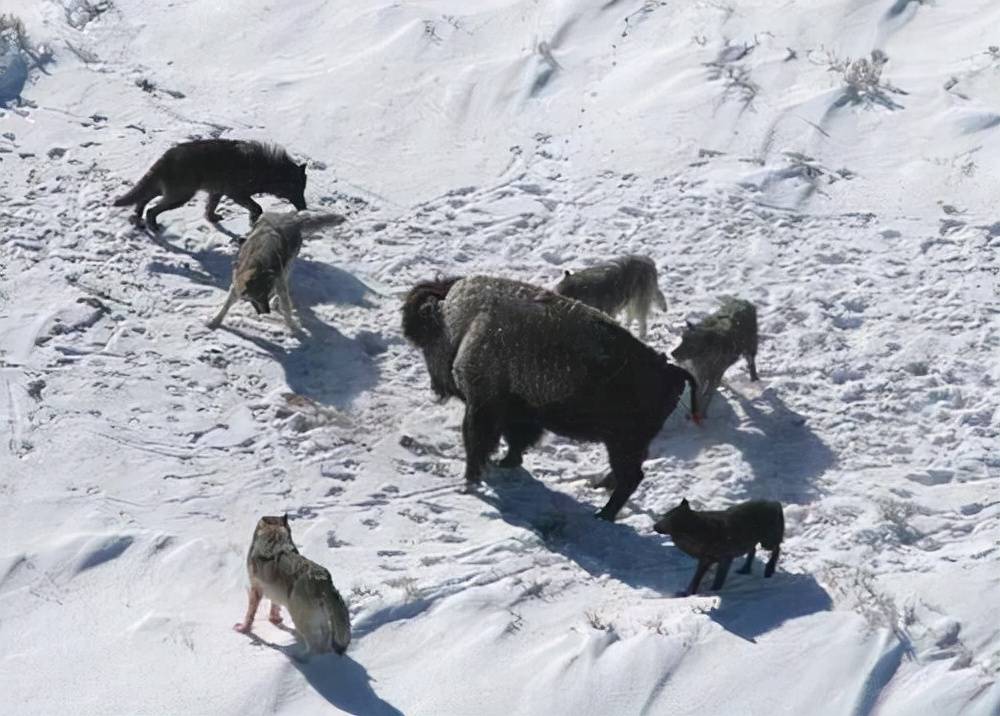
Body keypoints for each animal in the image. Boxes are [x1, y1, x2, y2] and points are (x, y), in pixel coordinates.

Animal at [112, 138, 306, 229]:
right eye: (297, 189)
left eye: (303, 189)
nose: (304, 208)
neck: (266, 170)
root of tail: (166, 157)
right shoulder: (236, 194)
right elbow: (257, 208)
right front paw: (252, 221)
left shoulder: (217, 192)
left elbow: (210, 208)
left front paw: (211, 218)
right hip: (180, 196)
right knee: (152, 209)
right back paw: (153, 225)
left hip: (170, 192)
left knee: (143, 199)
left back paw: (138, 216)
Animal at [205, 210, 346, 332]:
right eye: (257, 297)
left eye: (262, 296)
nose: (266, 312)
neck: (257, 265)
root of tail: (292, 218)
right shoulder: (237, 284)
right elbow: (226, 305)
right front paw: (215, 321)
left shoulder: (278, 281)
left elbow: (286, 307)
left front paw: (293, 328)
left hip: (287, 265)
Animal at [236, 516, 354, 656]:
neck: (275, 539)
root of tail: (322, 579)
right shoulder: (275, 592)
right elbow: (274, 607)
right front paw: (274, 620)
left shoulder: (256, 589)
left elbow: (250, 615)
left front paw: (243, 629)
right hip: (320, 621)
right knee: (324, 643)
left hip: (301, 620)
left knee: (315, 648)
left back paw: (296, 655)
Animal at [398, 274, 696, 520]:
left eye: (427, 340)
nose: (436, 387)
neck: (463, 321)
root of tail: (669, 370)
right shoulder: (520, 413)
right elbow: (516, 442)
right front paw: (505, 463)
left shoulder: (483, 407)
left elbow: (478, 442)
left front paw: (472, 478)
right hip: (627, 444)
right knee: (628, 474)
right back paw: (599, 488)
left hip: (622, 444)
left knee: (631, 477)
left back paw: (603, 514)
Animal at [652, 498, 784, 592]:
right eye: (665, 515)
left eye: (668, 519)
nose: (654, 526)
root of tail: (776, 503)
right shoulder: (704, 560)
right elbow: (695, 580)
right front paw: (687, 594)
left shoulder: (725, 559)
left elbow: (717, 581)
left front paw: (713, 593)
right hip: (754, 540)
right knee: (754, 549)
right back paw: (745, 570)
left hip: (767, 542)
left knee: (777, 548)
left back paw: (769, 570)